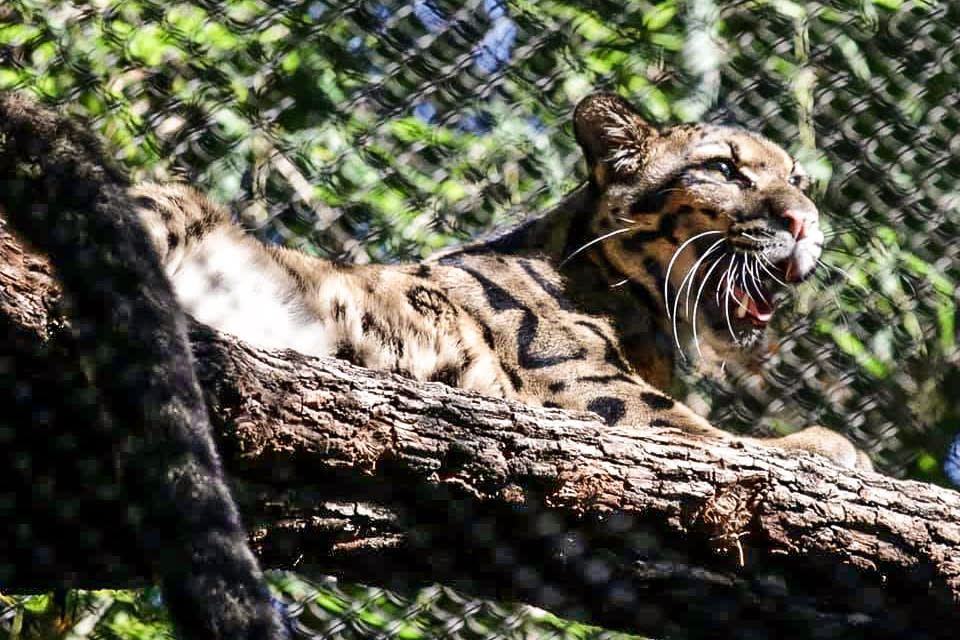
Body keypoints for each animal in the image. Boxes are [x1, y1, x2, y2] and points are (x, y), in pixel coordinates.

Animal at [133, 91, 872, 470]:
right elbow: (718, 437)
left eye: (798, 181)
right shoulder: (595, 394)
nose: (806, 220)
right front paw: (834, 447)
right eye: (724, 169)